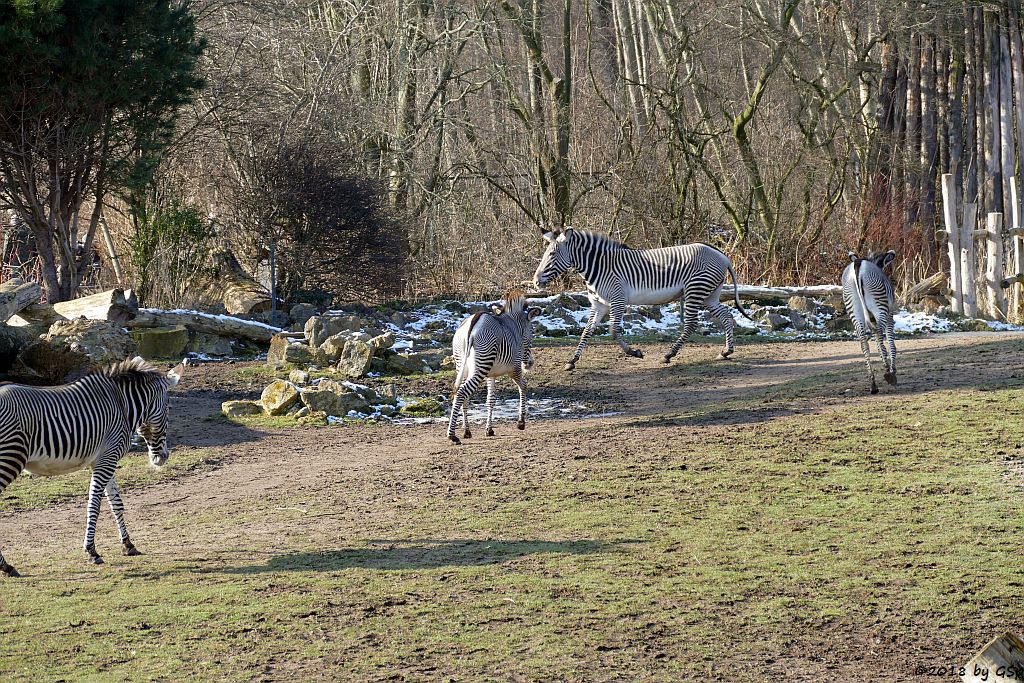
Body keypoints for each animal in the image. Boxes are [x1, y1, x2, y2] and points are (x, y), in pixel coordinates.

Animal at [536, 228, 753, 368]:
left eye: (552, 254)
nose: (535, 282)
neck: (599, 267)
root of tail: (722, 255)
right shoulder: (598, 305)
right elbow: (586, 332)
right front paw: (572, 361)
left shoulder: (618, 299)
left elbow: (613, 331)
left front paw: (635, 352)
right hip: (710, 295)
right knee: (726, 315)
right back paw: (726, 351)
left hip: (695, 290)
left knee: (692, 323)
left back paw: (669, 355)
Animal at [839, 249, 897, 395]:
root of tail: (857, 264)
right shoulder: (890, 314)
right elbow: (891, 343)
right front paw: (893, 369)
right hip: (880, 307)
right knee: (879, 334)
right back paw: (888, 373)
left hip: (854, 308)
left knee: (863, 342)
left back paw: (873, 384)